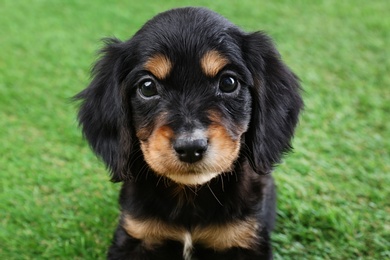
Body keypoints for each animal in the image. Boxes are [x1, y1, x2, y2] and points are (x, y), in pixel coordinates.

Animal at [74, 6, 304, 260]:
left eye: (229, 82)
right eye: (147, 87)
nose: (190, 147)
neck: (189, 196)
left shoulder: (244, 238)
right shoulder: (136, 234)